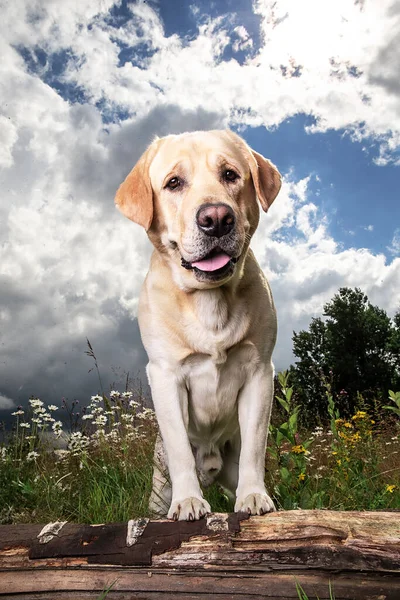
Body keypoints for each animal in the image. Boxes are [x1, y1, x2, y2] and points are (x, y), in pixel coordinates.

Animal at [114, 127, 280, 520]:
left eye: (230, 175)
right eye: (174, 182)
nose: (216, 218)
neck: (210, 300)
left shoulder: (260, 372)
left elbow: (255, 447)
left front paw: (254, 495)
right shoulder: (165, 375)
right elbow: (179, 450)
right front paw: (189, 500)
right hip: (157, 489)